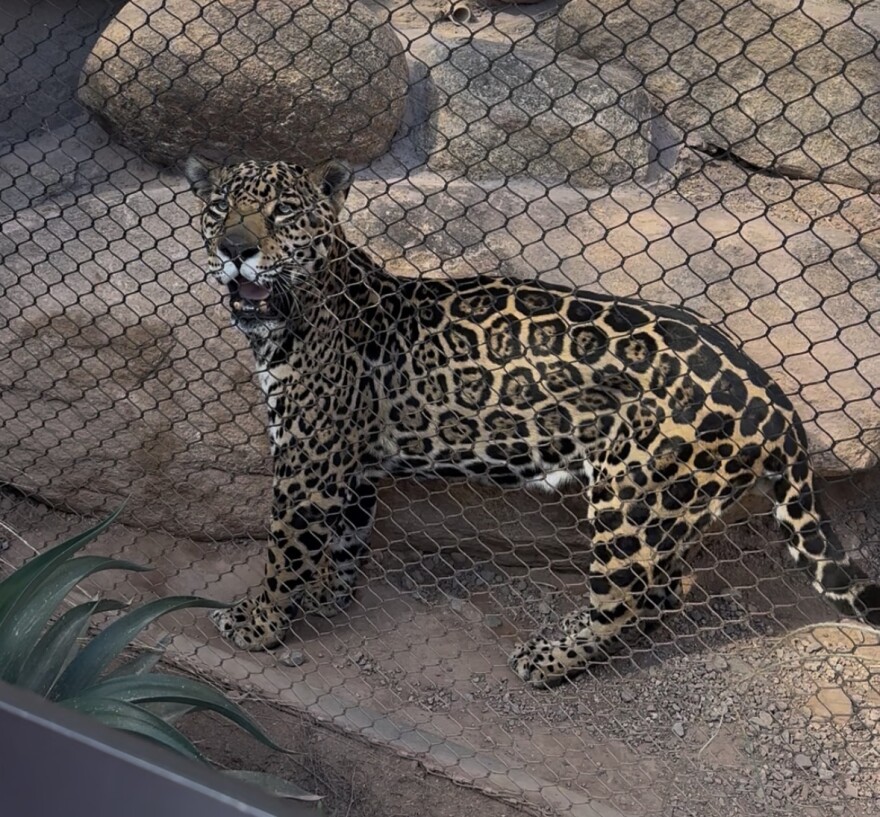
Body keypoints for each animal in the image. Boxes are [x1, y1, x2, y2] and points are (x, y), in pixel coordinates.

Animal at [184, 156, 880, 687]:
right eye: (218, 207)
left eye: (283, 213)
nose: (234, 250)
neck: (298, 307)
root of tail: (776, 402)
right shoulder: (347, 466)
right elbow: (341, 541)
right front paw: (327, 594)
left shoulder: (307, 467)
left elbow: (283, 553)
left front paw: (258, 623)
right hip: (670, 508)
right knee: (664, 588)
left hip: (631, 497)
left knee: (631, 595)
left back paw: (548, 661)